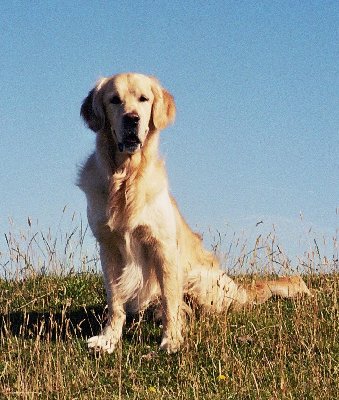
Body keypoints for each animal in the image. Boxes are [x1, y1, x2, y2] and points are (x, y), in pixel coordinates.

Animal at [77, 72, 310, 354]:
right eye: (114, 100)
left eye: (144, 99)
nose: (132, 119)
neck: (125, 179)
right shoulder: (108, 247)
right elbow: (115, 300)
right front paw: (108, 338)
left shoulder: (163, 246)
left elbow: (170, 300)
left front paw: (171, 339)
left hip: (200, 280)